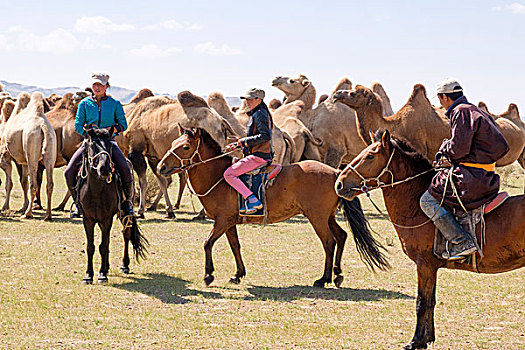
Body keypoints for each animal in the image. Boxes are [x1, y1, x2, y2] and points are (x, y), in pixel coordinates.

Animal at [78, 129, 147, 284]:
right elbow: (91, 246)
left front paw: (102, 274)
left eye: (109, 145)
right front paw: (88, 275)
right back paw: (107, 266)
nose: (104, 168)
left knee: (126, 234)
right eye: (92, 145)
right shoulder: (88, 219)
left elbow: (103, 246)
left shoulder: (107, 219)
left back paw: (124, 266)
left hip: (124, 214)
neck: (96, 190)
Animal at [334, 130, 520, 348]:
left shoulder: (424, 264)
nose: (339, 183)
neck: (414, 205)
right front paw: (427, 339)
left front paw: (416, 341)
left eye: (370, 156)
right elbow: (430, 301)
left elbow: (421, 302)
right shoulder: (430, 267)